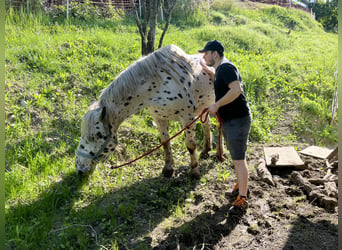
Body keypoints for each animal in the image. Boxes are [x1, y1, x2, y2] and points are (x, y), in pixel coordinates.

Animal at [76, 44, 218, 179]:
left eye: (96, 136)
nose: (79, 168)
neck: (158, 84)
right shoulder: (159, 118)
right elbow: (165, 142)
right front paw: (168, 169)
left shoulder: (187, 118)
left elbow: (190, 145)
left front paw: (195, 172)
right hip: (203, 108)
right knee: (207, 124)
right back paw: (206, 149)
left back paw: (219, 155)